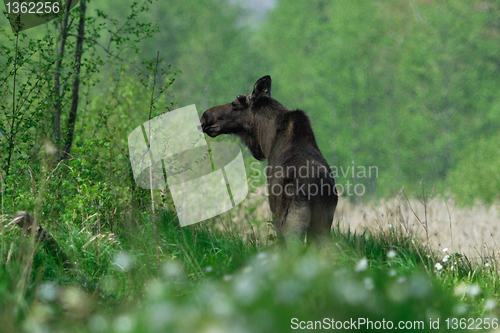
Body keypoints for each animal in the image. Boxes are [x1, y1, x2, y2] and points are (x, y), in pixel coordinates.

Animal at [198, 75, 336, 244]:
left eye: (235, 104)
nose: (206, 116)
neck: (267, 141)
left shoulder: (274, 211)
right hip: (322, 225)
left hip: (291, 221)